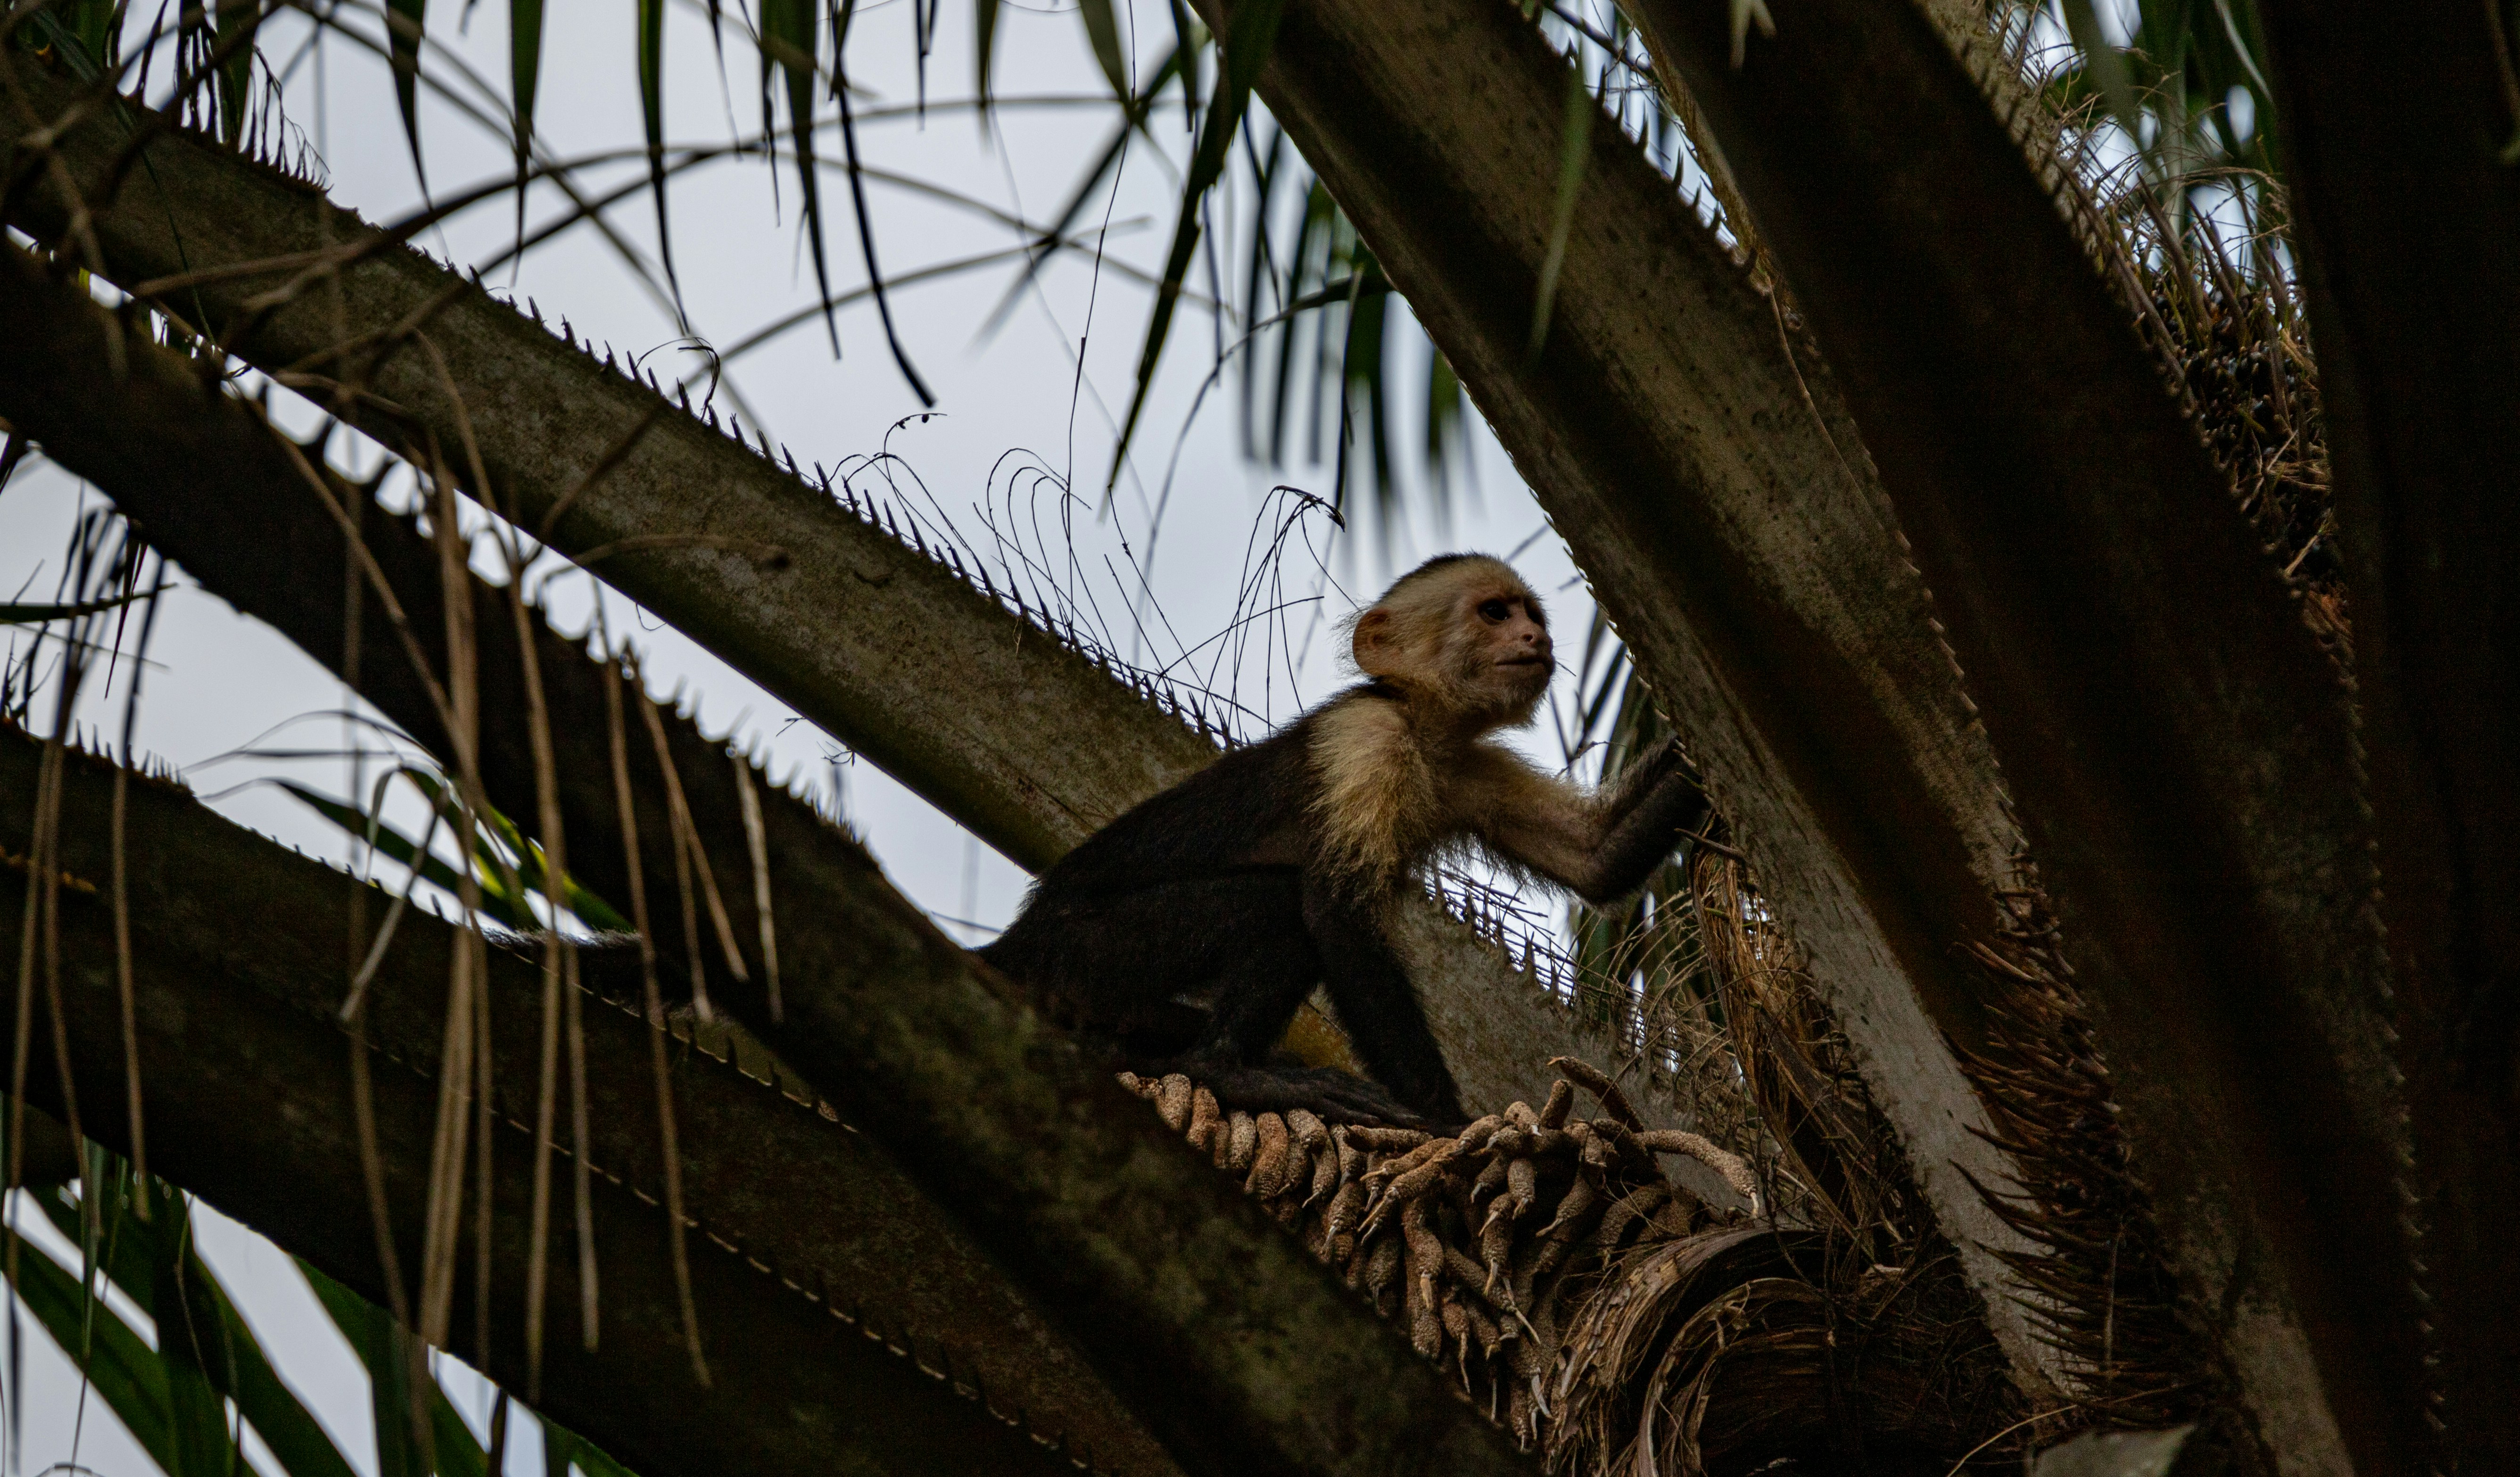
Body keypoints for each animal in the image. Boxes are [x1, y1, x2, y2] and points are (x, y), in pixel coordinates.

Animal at [979, 553, 1710, 1128]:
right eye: (1494, 613)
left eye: (1531, 614)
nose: (1534, 635)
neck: (1418, 726)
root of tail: (1017, 943)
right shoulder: (1365, 740)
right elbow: (1337, 916)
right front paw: (1450, 1125)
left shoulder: (1467, 767)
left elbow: (1595, 860)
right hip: (1084, 951)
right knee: (1281, 907)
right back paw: (1225, 1070)